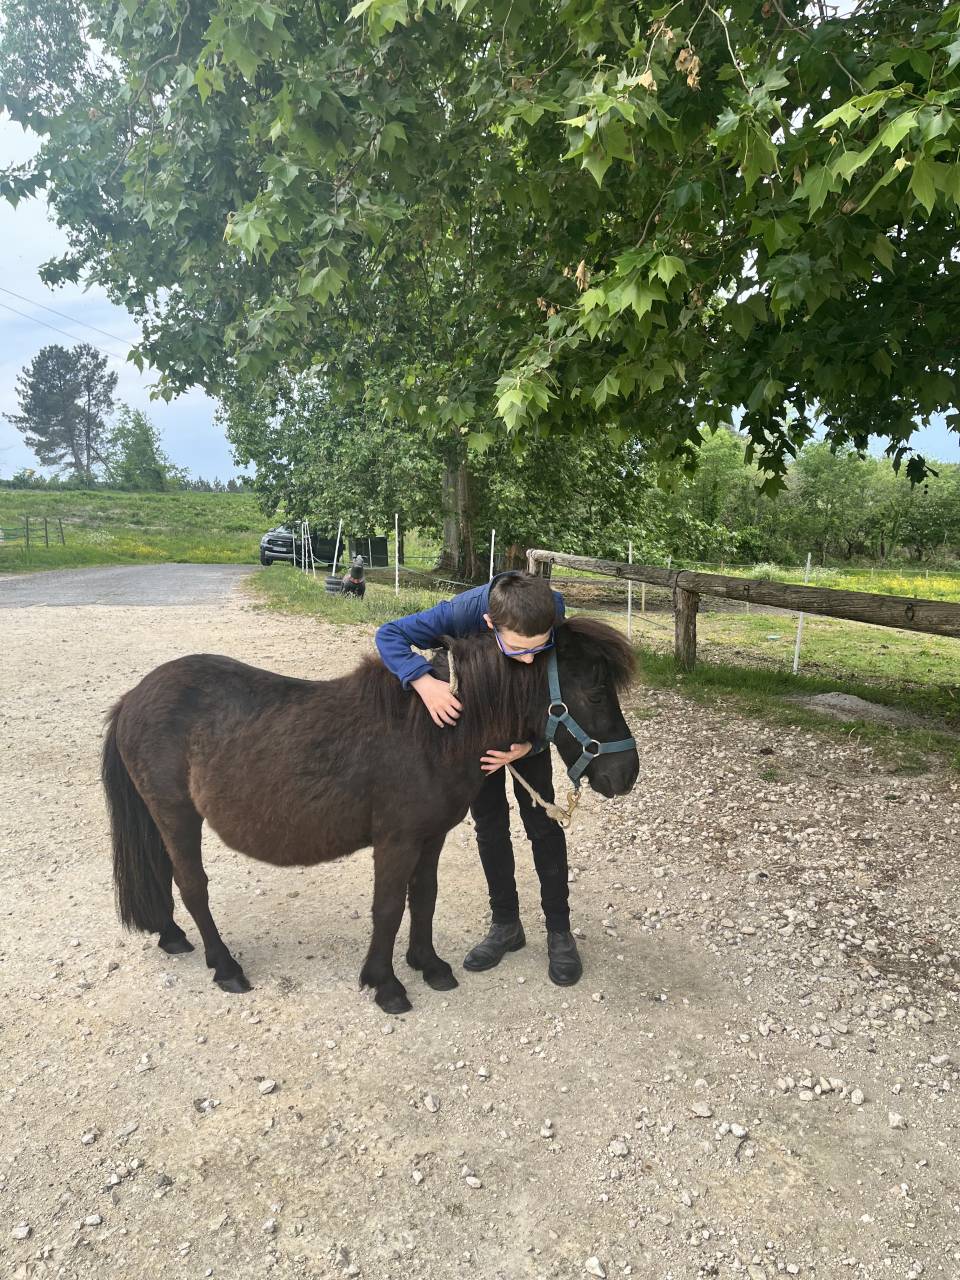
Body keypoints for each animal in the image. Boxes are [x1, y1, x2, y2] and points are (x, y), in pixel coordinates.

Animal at [101, 617, 639, 1014]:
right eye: (595, 693)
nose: (626, 774)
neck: (433, 731)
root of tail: (132, 698)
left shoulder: (431, 837)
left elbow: (424, 898)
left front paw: (429, 964)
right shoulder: (396, 841)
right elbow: (388, 907)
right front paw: (386, 985)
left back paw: (172, 937)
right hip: (176, 814)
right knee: (192, 885)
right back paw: (226, 968)